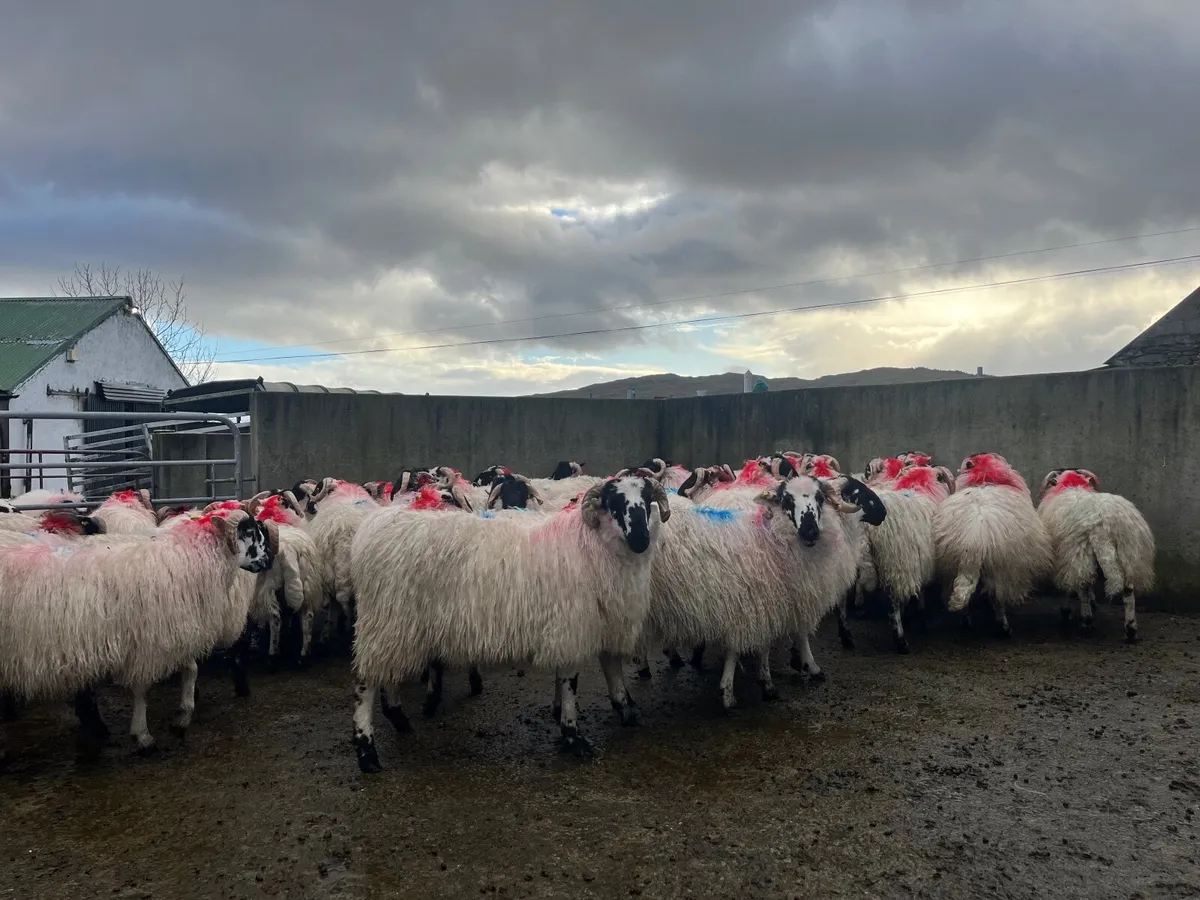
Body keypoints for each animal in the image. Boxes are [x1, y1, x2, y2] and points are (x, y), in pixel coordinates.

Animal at [0, 509, 276, 763]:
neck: (191, 558)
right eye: (250, 532)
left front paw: (182, 718)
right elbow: (141, 689)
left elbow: (191, 670)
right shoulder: (148, 643)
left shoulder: (173, 633)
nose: (268, 559)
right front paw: (143, 736)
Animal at [348, 473, 670, 772]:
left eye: (646, 499)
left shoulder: (603, 621)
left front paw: (624, 710)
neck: (589, 545)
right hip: (385, 619)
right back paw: (366, 752)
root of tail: (373, 529)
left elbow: (611, 669)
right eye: (614, 501)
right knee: (366, 683)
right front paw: (573, 735)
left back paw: (399, 719)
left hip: (398, 626)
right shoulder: (569, 625)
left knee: (387, 673)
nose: (640, 540)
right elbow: (570, 681)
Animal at [933, 453, 1053, 636]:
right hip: (1002, 568)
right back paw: (1004, 626)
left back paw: (966, 622)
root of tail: (973, 539)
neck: (985, 475)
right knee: (997, 596)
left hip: (951, 566)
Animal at [1037, 468, 1154, 643]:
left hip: (1079, 550)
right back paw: (1130, 630)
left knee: (1083, 585)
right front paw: (1093, 602)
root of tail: (1102, 524)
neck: (1072, 483)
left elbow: (1070, 586)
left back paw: (1086, 621)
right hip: (1128, 551)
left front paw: (1067, 610)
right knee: (1128, 590)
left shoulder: (1064, 554)